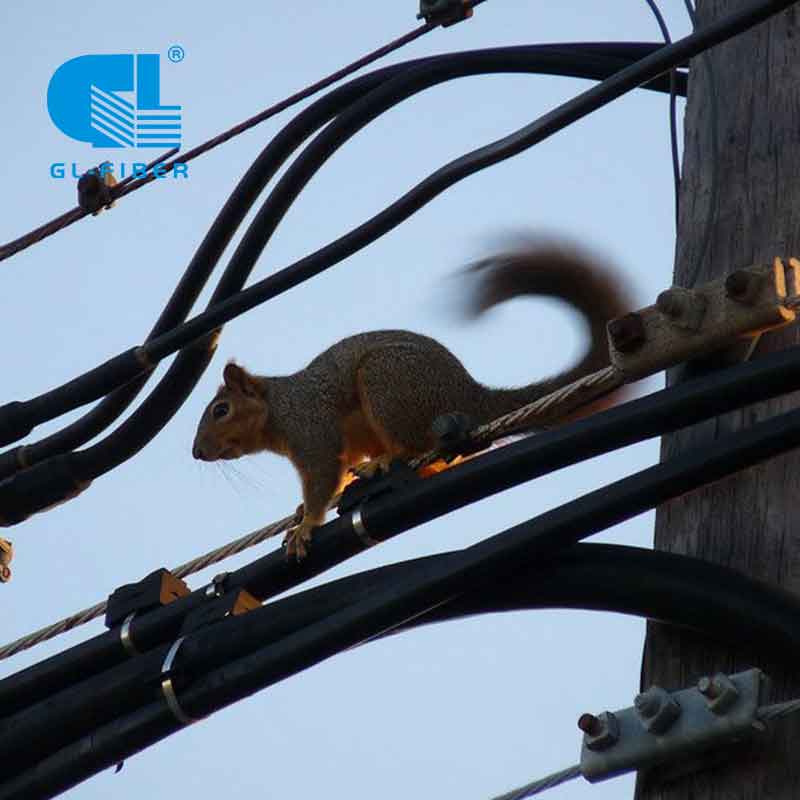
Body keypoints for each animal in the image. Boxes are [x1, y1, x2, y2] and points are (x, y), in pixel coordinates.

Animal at [194, 241, 632, 560]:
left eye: (221, 410)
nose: (197, 453)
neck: (279, 409)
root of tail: (469, 395)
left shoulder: (311, 428)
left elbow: (323, 475)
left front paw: (306, 525)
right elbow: (337, 472)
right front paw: (301, 511)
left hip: (387, 385)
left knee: (415, 443)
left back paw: (385, 461)